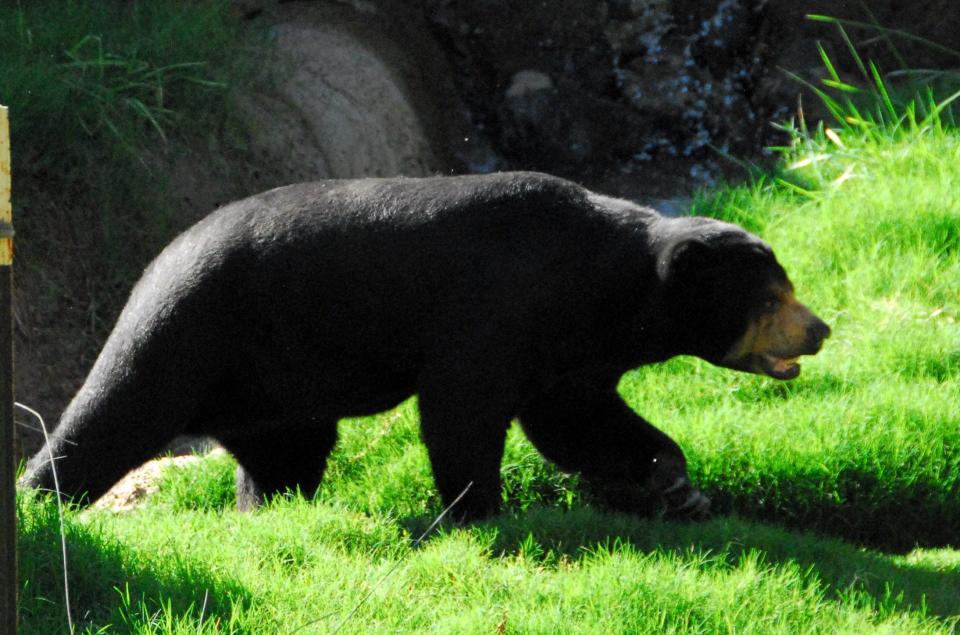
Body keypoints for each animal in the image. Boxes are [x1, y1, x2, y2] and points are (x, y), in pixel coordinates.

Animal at [22, 171, 832, 520]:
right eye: (771, 299)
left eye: (789, 286)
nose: (820, 330)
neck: (603, 287)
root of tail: (153, 265)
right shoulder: (495, 310)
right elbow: (462, 410)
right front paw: (477, 514)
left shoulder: (567, 350)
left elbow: (575, 418)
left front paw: (675, 483)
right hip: (191, 331)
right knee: (114, 415)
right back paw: (39, 503)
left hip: (279, 380)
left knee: (287, 454)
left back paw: (268, 511)